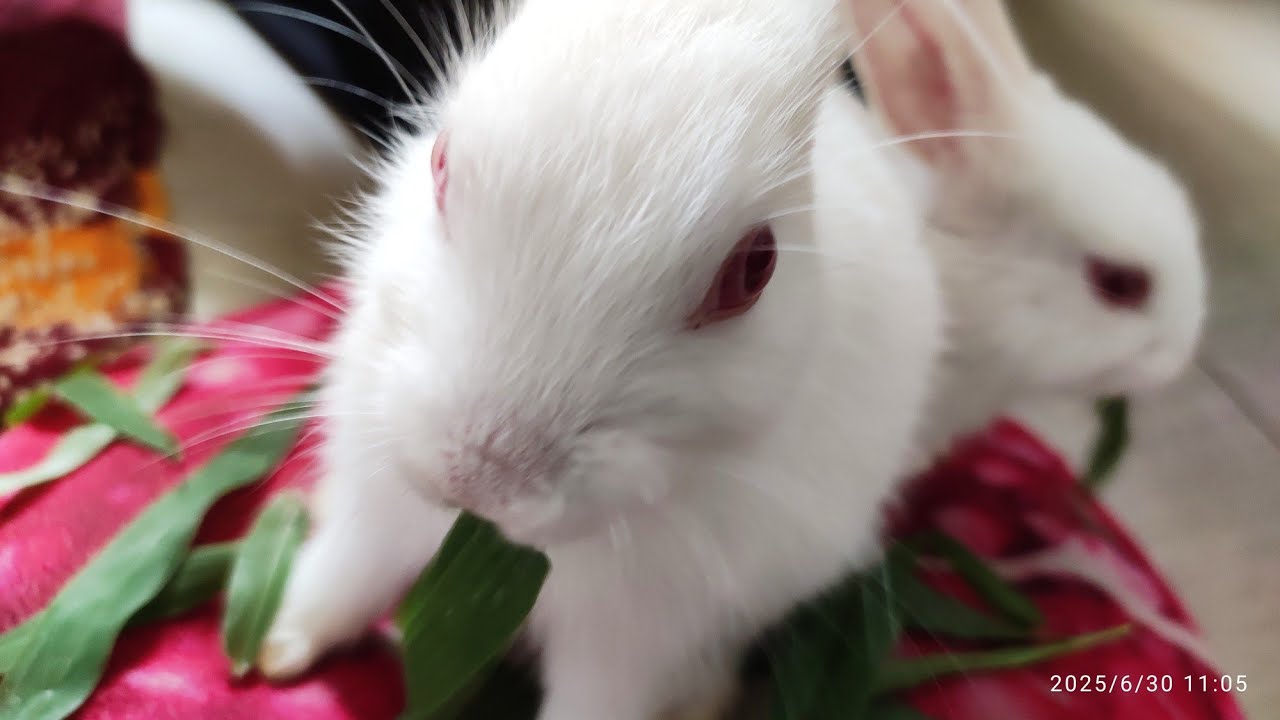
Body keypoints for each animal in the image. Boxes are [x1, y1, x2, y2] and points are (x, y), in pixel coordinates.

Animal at [258, 1, 944, 719]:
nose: (478, 479)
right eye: (440, 163)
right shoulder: (375, 496)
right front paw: (280, 648)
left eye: (756, 268)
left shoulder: (635, 638)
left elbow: (597, 698)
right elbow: (344, 575)